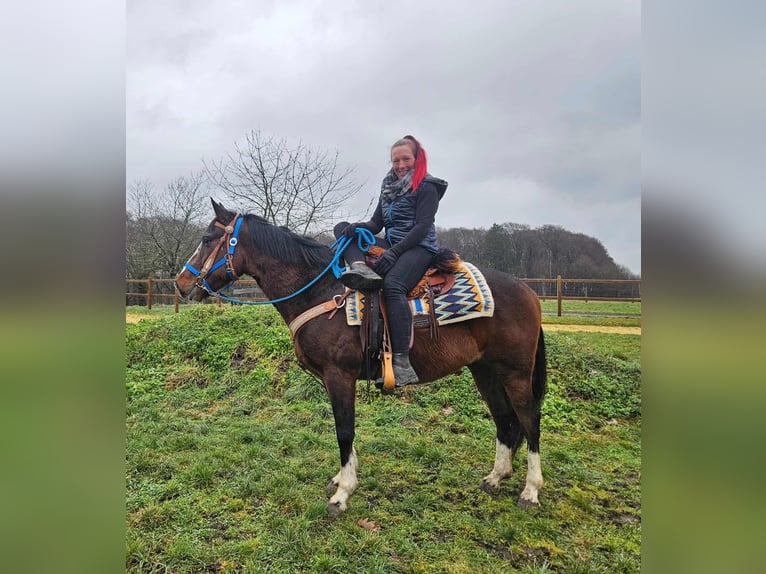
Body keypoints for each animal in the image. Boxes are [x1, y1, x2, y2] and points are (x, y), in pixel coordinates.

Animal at [175, 199, 547, 515]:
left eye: (207, 238)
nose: (181, 283)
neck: (321, 291)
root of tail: (528, 291)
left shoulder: (339, 376)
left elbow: (344, 431)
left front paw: (342, 495)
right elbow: (347, 432)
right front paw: (343, 481)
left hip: (515, 372)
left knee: (529, 420)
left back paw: (530, 491)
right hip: (484, 370)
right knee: (505, 420)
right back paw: (496, 477)